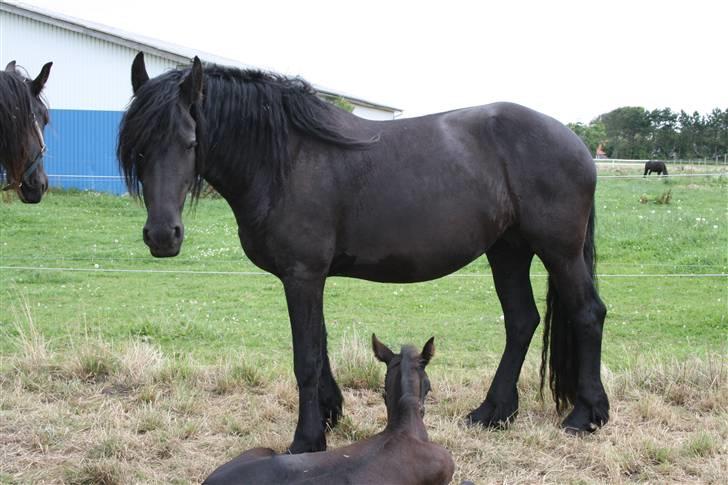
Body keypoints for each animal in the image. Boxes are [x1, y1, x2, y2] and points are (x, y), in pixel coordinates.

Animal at [118, 54, 608, 454]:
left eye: (190, 142)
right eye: (137, 146)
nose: (162, 236)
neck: (284, 160)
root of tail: (575, 143)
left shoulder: (303, 274)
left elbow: (306, 357)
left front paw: (307, 439)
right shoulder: (307, 276)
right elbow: (319, 344)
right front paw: (331, 415)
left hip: (559, 251)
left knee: (587, 313)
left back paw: (586, 415)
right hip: (508, 250)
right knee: (521, 320)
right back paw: (493, 413)